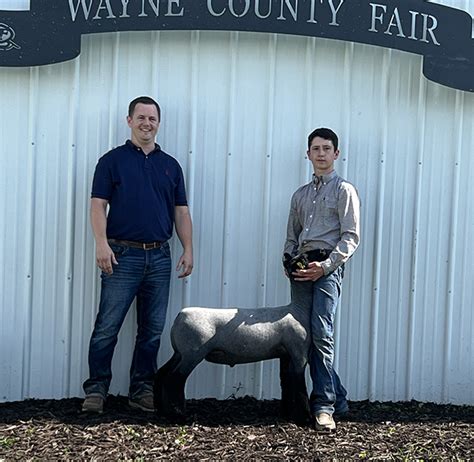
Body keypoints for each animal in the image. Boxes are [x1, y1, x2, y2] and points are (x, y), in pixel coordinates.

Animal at [154, 254, 312, 424]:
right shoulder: (299, 352)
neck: (297, 309)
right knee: (174, 379)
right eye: (304, 258)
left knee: (162, 373)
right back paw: (178, 416)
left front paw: (287, 413)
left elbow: (286, 382)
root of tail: (179, 316)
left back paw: (161, 410)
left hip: (180, 352)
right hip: (193, 353)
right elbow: (300, 383)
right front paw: (305, 418)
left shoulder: (285, 354)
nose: (313, 253)